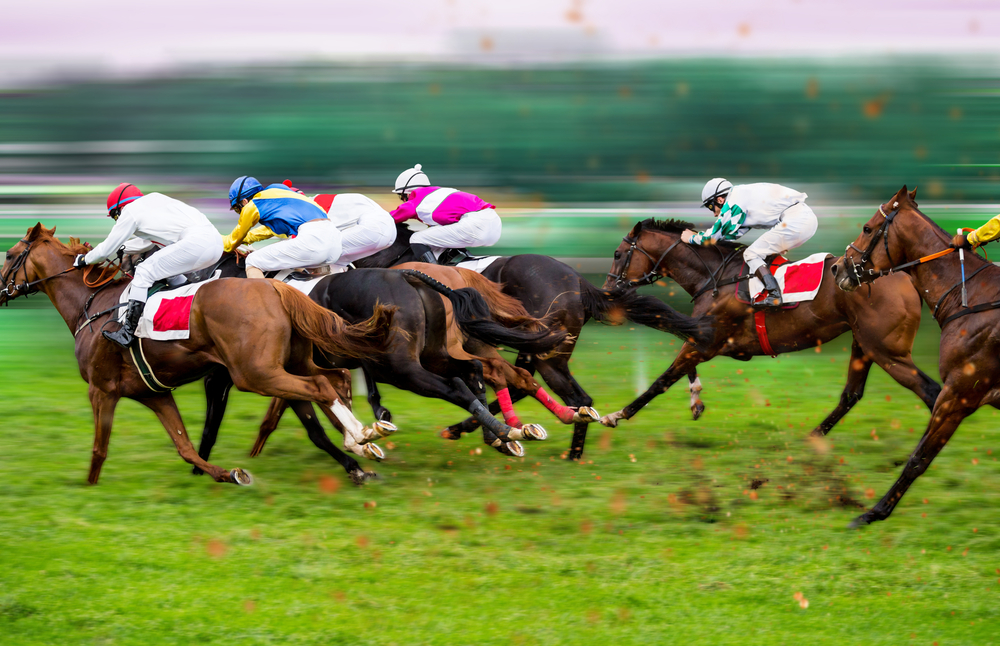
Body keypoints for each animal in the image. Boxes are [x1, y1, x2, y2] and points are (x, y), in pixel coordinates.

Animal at [0, 227, 398, 486]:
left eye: (9, 255)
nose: (1, 290)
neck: (94, 307)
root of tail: (274, 286)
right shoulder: (154, 393)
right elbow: (185, 446)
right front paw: (227, 473)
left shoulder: (101, 389)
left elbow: (100, 448)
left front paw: (89, 488)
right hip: (284, 366)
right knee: (331, 381)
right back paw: (365, 438)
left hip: (255, 373)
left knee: (321, 386)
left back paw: (360, 438)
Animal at [354, 223, 712, 460]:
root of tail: (578, 281)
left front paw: (380, 410)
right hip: (543, 349)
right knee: (550, 390)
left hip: (544, 352)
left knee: (567, 394)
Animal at [596, 218, 940, 436]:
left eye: (617, 254)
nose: (608, 291)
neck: (717, 277)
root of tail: (903, 275)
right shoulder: (707, 338)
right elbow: (680, 357)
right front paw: (696, 400)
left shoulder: (710, 341)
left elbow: (662, 380)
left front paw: (615, 415)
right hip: (864, 344)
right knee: (851, 395)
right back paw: (813, 437)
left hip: (886, 350)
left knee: (932, 391)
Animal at [832, 185, 1000, 528]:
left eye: (867, 228)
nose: (838, 267)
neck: (973, 298)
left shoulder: (958, 395)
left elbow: (918, 458)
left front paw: (873, 512)